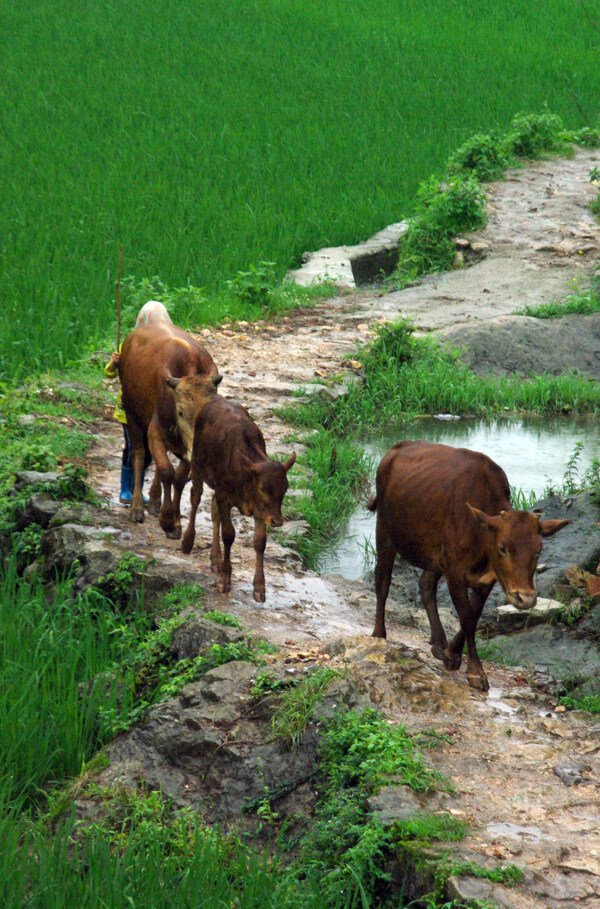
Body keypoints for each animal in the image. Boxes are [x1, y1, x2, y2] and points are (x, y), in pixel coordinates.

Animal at [118, 320, 221, 536]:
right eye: (180, 412)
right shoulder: (154, 432)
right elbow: (167, 470)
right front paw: (166, 520)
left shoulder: (191, 448)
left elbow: (179, 478)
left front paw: (175, 521)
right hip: (131, 414)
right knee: (139, 456)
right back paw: (137, 507)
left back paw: (154, 500)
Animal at [182, 398, 296, 604]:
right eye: (263, 488)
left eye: (285, 488)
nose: (277, 520)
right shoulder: (225, 496)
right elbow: (229, 534)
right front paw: (225, 580)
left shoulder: (260, 509)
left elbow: (260, 541)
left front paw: (259, 588)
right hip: (197, 464)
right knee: (196, 497)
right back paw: (187, 541)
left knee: (213, 509)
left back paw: (215, 559)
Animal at [368, 440, 568, 688]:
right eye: (503, 548)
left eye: (538, 550)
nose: (526, 598)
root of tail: (397, 448)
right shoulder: (455, 573)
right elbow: (466, 617)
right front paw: (475, 671)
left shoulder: (488, 578)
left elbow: (473, 615)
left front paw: (452, 653)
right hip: (384, 531)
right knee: (382, 582)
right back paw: (379, 633)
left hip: (436, 557)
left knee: (426, 585)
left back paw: (438, 642)